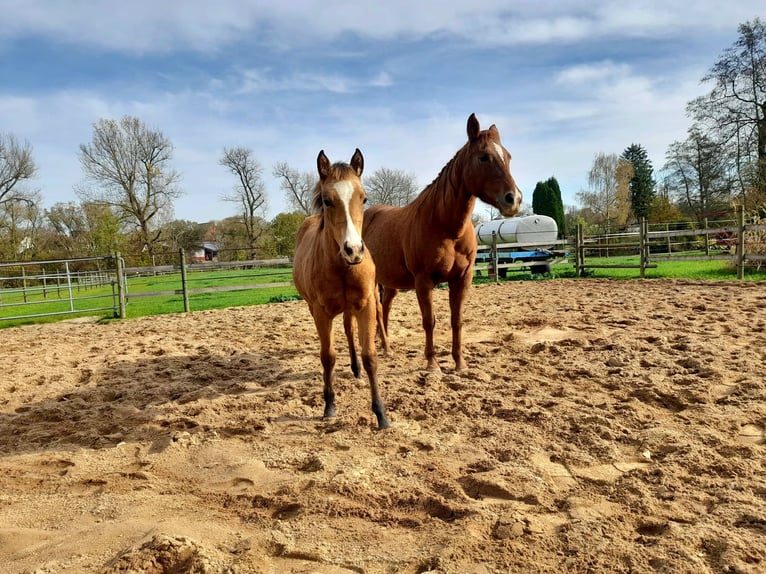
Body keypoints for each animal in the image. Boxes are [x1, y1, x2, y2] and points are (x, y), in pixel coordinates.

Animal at [292, 148, 390, 430]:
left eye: (364, 198)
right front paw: (329, 405)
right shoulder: (321, 312)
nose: (353, 250)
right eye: (327, 200)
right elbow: (328, 357)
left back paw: (356, 369)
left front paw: (381, 414)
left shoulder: (367, 305)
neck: (342, 267)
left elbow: (370, 357)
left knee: (349, 330)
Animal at [362, 113, 523, 372]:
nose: (514, 199)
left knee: (384, 308)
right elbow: (429, 321)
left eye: (508, 157)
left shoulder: (462, 278)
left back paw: (385, 346)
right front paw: (432, 363)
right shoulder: (423, 281)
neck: (446, 228)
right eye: (484, 157)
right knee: (376, 310)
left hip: (389, 282)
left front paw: (459, 363)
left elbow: (457, 320)